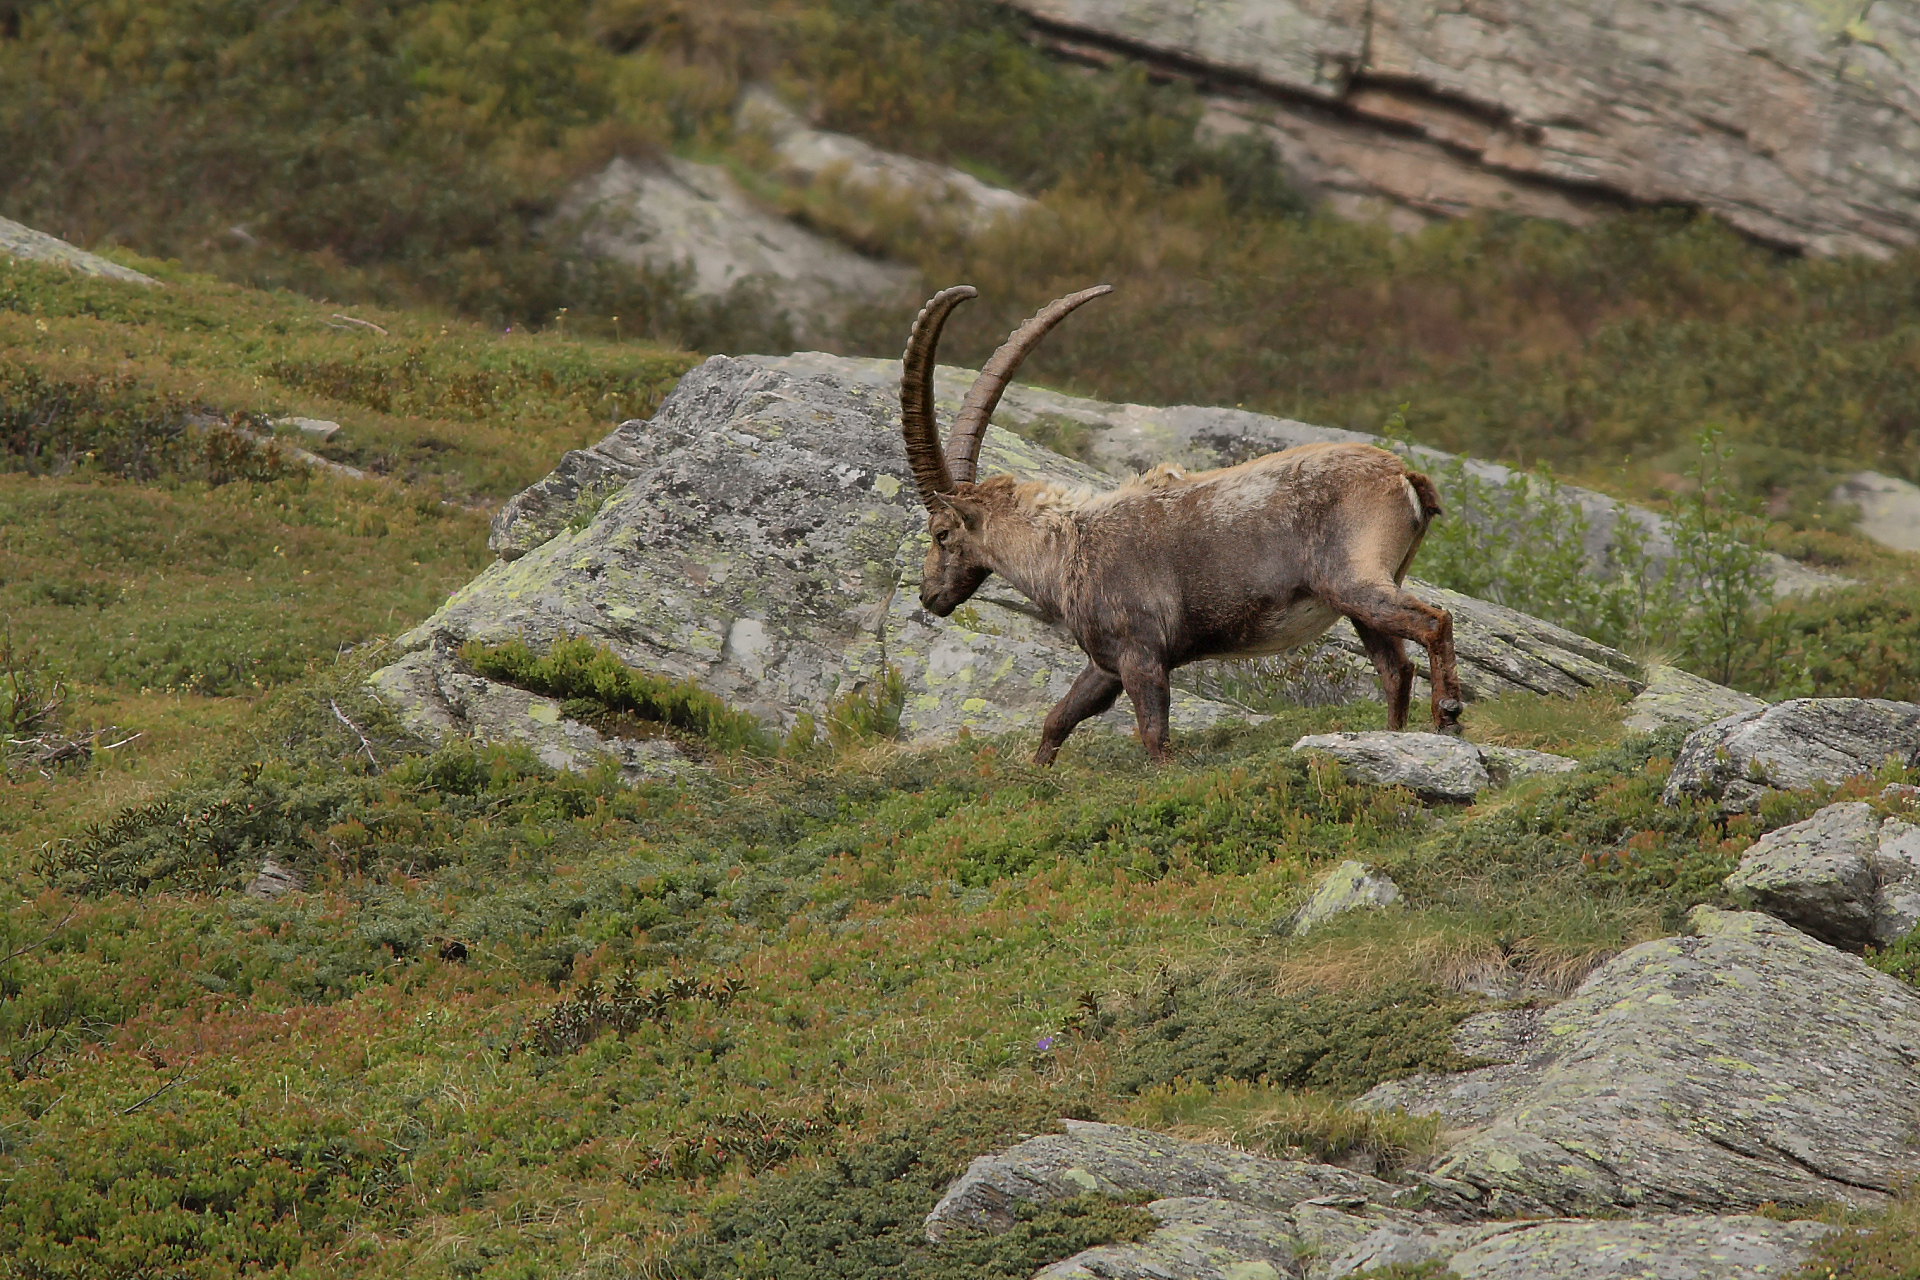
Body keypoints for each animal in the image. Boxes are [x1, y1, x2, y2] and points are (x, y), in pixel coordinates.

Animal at [897, 284, 1465, 764]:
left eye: (941, 534)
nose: (928, 596)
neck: (1065, 550)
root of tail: (1404, 476)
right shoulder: (1107, 664)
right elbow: (1059, 718)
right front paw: (1037, 775)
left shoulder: (1141, 653)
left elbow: (1154, 736)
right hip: (1361, 597)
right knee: (1396, 668)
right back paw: (1392, 739)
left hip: (1354, 578)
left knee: (1433, 622)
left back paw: (1448, 718)